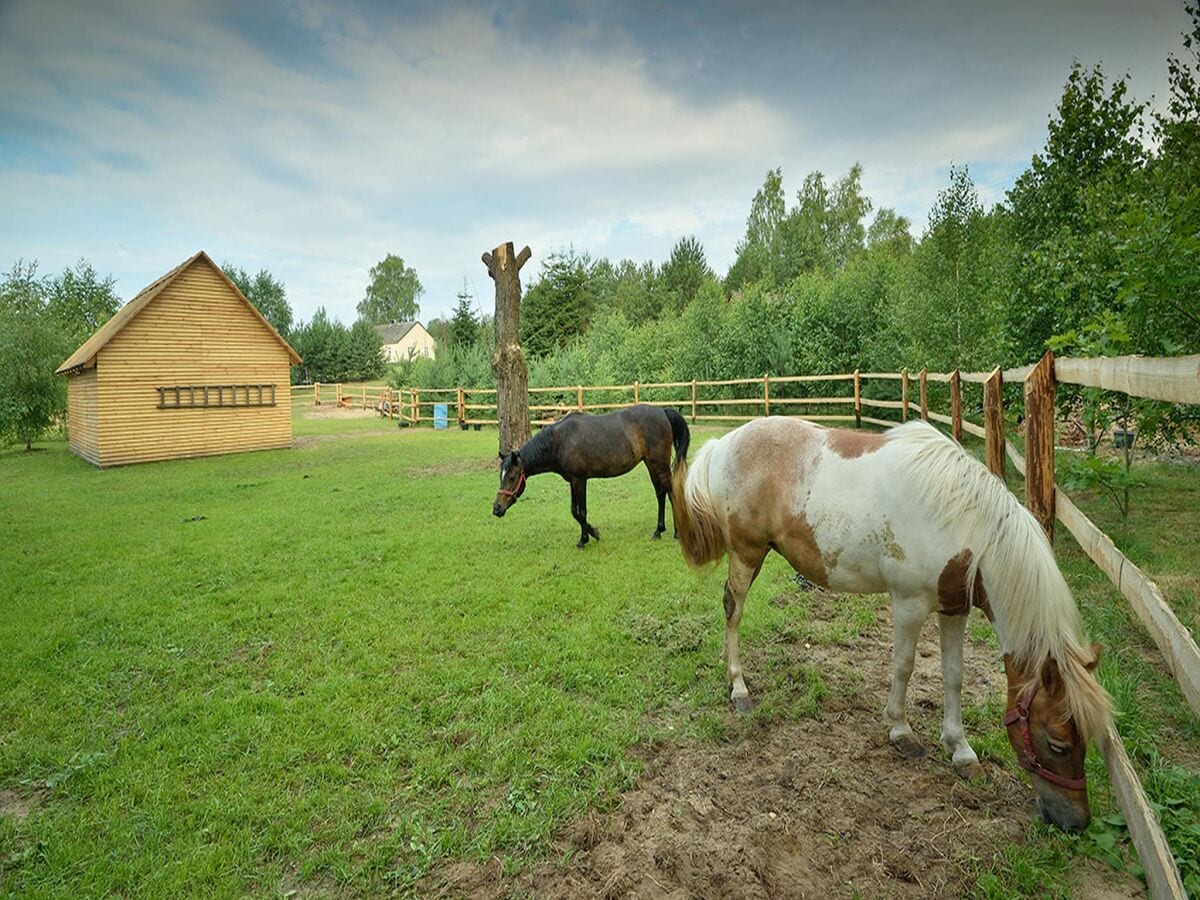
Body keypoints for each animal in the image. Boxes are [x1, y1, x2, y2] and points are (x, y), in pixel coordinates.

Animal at [492, 403, 691, 547]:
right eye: (500, 476)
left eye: (511, 478)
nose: (496, 508)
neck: (560, 441)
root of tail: (662, 411)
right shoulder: (573, 481)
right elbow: (575, 511)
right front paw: (586, 537)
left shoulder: (580, 480)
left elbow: (581, 512)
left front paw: (590, 536)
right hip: (651, 464)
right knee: (660, 493)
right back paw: (658, 531)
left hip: (660, 464)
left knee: (671, 492)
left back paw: (677, 533)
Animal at [672, 420, 1108, 835]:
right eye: (1058, 743)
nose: (1076, 823)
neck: (964, 524)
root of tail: (724, 443)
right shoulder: (909, 604)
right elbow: (904, 666)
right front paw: (901, 731)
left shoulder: (954, 609)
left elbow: (954, 676)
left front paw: (961, 750)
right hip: (746, 553)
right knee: (733, 611)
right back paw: (738, 688)